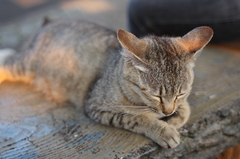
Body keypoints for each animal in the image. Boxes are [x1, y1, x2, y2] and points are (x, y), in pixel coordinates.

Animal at [0, 20, 214, 148]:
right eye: (156, 95)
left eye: (180, 93)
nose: (168, 111)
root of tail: (49, 24)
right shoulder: (96, 106)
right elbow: (135, 118)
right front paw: (163, 129)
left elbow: (186, 110)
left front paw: (174, 119)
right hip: (25, 65)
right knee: (8, 62)